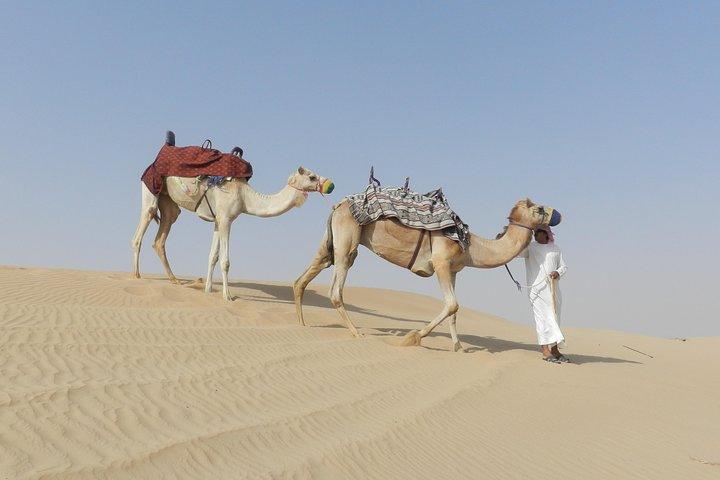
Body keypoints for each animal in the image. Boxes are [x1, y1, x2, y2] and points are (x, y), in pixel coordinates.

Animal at [132, 167, 333, 300]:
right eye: (312, 177)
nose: (330, 185)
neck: (245, 197)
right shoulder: (226, 219)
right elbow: (225, 261)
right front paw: (227, 296)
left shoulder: (218, 221)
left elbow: (212, 256)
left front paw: (208, 290)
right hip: (151, 189)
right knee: (142, 226)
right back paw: (136, 276)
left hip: (168, 202)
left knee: (162, 234)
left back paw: (175, 280)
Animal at [293, 198, 561, 350]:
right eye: (539, 209)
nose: (558, 214)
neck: (470, 245)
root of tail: (338, 205)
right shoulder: (440, 262)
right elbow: (452, 305)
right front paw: (412, 338)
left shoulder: (453, 270)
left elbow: (454, 313)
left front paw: (459, 347)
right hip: (347, 239)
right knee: (336, 289)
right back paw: (356, 333)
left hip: (331, 240)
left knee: (306, 276)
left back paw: (303, 324)